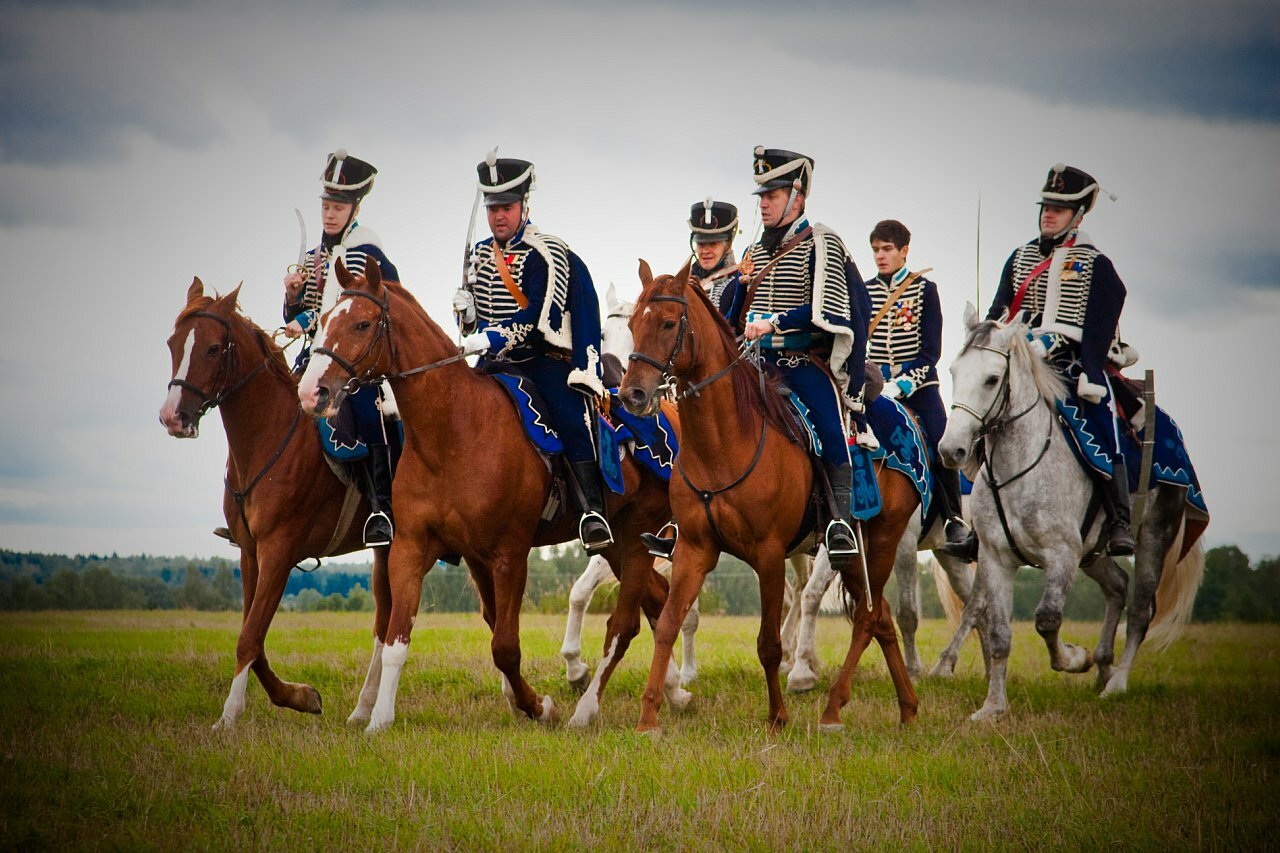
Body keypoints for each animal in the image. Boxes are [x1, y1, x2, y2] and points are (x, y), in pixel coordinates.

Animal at [156, 277, 384, 722]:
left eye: (213, 348)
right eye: (173, 343)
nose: (173, 417)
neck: (270, 435)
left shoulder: (279, 551)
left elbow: (249, 636)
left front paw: (228, 717)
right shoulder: (250, 551)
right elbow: (254, 635)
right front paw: (300, 695)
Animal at [296, 261, 680, 732]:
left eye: (362, 323)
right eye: (325, 321)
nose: (312, 392)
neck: (453, 431)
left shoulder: (508, 555)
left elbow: (505, 647)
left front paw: (538, 706)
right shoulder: (415, 548)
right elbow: (397, 639)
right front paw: (379, 718)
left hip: (639, 532)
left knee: (625, 624)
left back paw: (590, 707)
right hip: (617, 542)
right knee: (658, 600)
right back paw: (677, 694)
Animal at [619, 261, 921, 732]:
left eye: (668, 323)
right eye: (633, 323)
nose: (632, 395)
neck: (725, 443)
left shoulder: (769, 554)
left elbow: (769, 644)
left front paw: (778, 715)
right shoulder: (693, 548)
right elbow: (667, 623)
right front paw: (649, 716)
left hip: (885, 537)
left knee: (869, 617)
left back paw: (833, 708)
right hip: (854, 553)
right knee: (882, 616)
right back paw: (906, 707)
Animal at [931, 306, 1198, 717]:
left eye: (992, 379)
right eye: (955, 372)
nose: (951, 450)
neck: (1019, 469)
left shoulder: (1062, 555)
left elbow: (1047, 619)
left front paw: (1074, 658)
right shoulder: (995, 557)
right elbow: (999, 631)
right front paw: (992, 707)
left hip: (1155, 532)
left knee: (1140, 609)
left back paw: (1116, 684)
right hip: (1093, 552)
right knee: (1118, 585)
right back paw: (1103, 667)